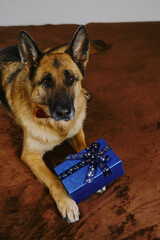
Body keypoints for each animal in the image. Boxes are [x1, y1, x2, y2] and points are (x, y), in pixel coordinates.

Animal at [0, 26, 107, 223]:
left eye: (71, 79)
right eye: (46, 81)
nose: (64, 113)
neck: (57, 127)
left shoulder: (77, 132)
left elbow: (85, 149)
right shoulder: (31, 156)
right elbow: (53, 179)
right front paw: (67, 202)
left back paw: (84, 93)